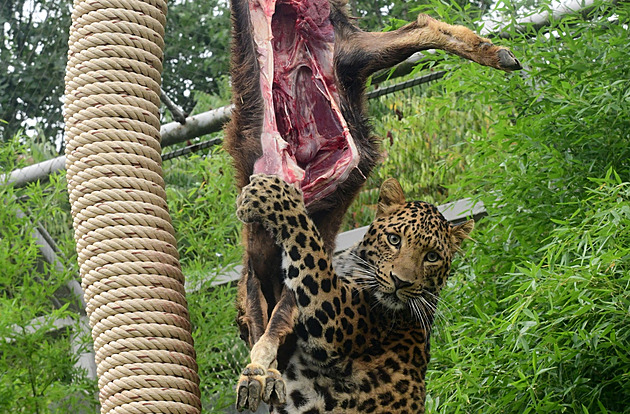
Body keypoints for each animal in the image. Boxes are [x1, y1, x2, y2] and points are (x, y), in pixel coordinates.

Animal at [237, 173, 474, 412]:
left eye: (432, 257)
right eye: (394, 239)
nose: (400, 281)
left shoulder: (334, 314)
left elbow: (309, 242)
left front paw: (275, 193)